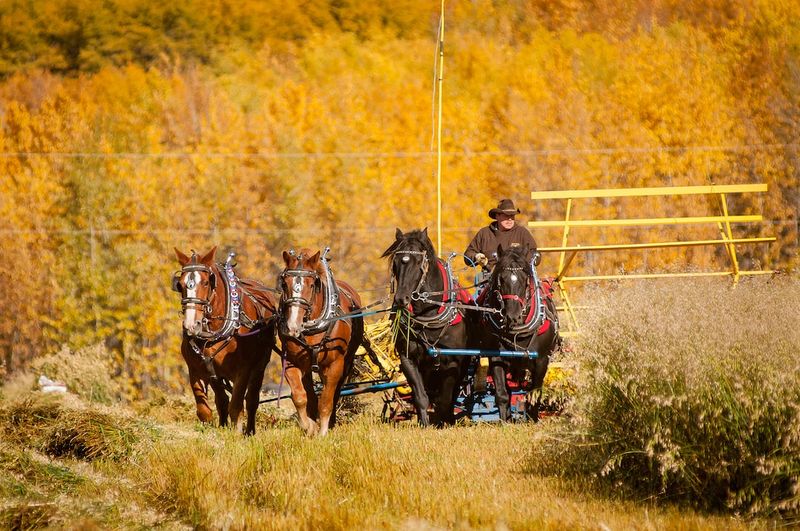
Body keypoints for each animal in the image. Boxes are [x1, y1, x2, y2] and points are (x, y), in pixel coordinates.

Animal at [172, 247, 278, 434]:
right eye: (181, 284)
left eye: (206, 283)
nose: (192, 325)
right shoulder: (199, 370)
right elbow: (208, 408)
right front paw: (218, 428)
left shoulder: (243, 370)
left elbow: (236, 406)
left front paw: (236, 433)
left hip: (259, 367)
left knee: (252, 400)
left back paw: (250, 431)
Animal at [276, 247, 362, 438]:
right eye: (284, 284)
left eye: (311, 284)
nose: (292, 326)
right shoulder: (291, 361)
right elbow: (299, 396)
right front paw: (309, 426)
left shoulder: (334, 364)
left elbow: (326, 400)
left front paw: (323, 432)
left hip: (345, 362)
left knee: (335, 392)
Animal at [382, 229, 476, 428]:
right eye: (395, 262)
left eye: (419, 262)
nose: (401, 298)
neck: (427, 315)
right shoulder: (407, 359)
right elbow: (421, 396)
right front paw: (424, 423)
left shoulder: (453, 363)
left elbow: (445, 400)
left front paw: (444, 422)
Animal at [476, 245, 564, 424]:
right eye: (501, 279)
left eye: (525, 280)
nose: (513, 316)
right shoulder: (496, 357)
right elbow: (502, 393)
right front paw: (505, 421)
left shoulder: (542, 359)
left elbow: (534, 393)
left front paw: (533, 419)